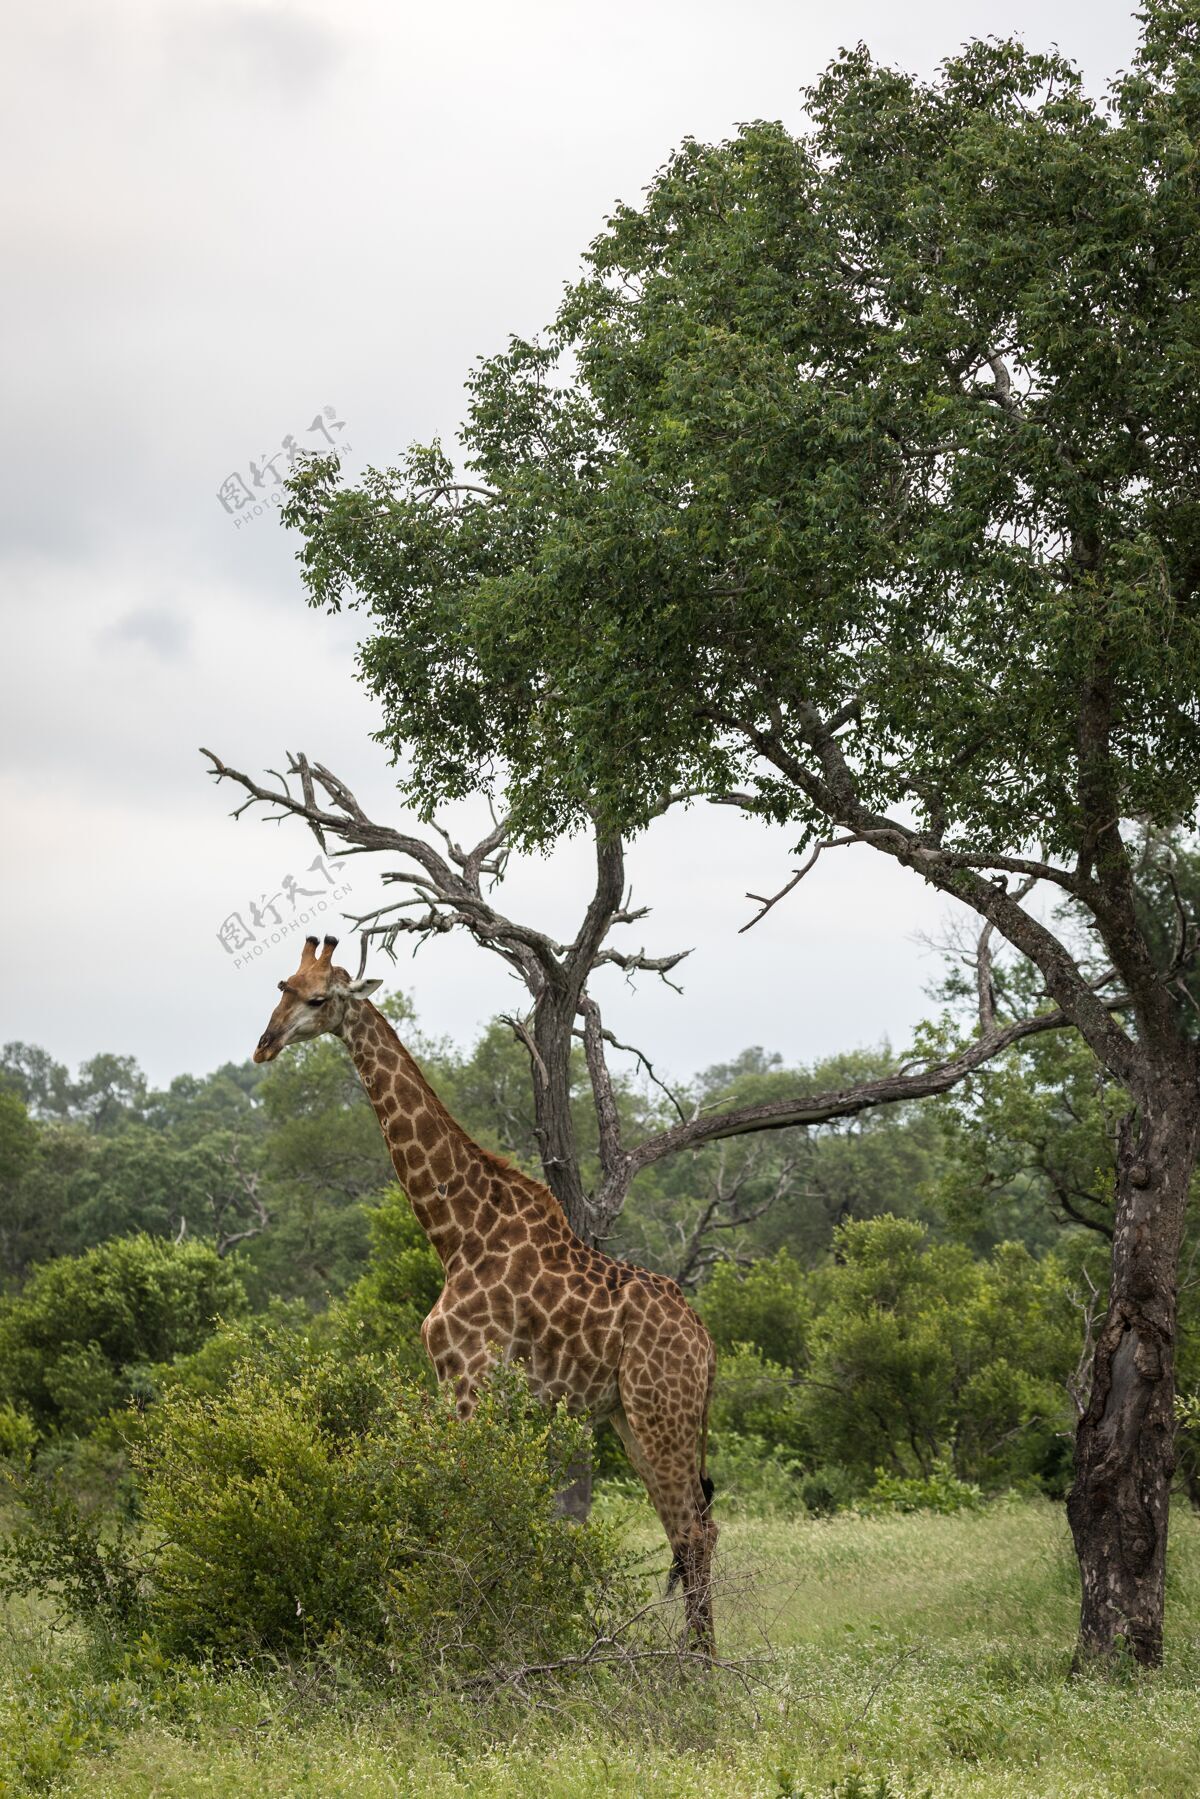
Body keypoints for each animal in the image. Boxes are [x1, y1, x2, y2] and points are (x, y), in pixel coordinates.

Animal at [253, 935, 719, 1647]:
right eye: (281, 986)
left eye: (318, 998)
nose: (265, 1043)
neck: (456, 1233)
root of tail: (707, 1347)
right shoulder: (472, 1388)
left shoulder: (467, 1379)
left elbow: (467, 1511)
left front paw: (466, 1642)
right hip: (634, 1417)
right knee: (690, 1531)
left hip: (660, 1411)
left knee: (694, 1534)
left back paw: (700, 1667)